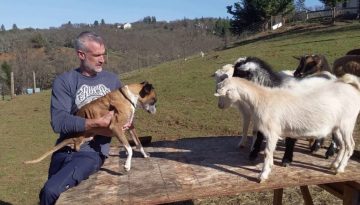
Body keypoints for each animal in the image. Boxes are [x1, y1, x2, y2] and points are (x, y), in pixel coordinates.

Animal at [23, 81, 156, 171]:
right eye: (154, 101)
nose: (155, 111)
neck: (127, 96)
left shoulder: (130, 127)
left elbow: (138, 144)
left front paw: (145, 155)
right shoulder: (116, 128)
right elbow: (129, 149)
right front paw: (127, 165)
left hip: (89, 136)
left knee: (74, 143)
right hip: (83, 137)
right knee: (75, 144)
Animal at [215, 74, 358, 182]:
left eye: (224, 93)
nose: (219, 106)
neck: (260, 99)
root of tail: (353, 89)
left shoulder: (272, 131)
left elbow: (267, 152)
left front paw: (263, 175)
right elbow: (270, 152)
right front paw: (269, 167)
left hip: (347, 123)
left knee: (350, 145)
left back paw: (339, 169)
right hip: (337, 126)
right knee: (343, 145)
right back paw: (334, 164)